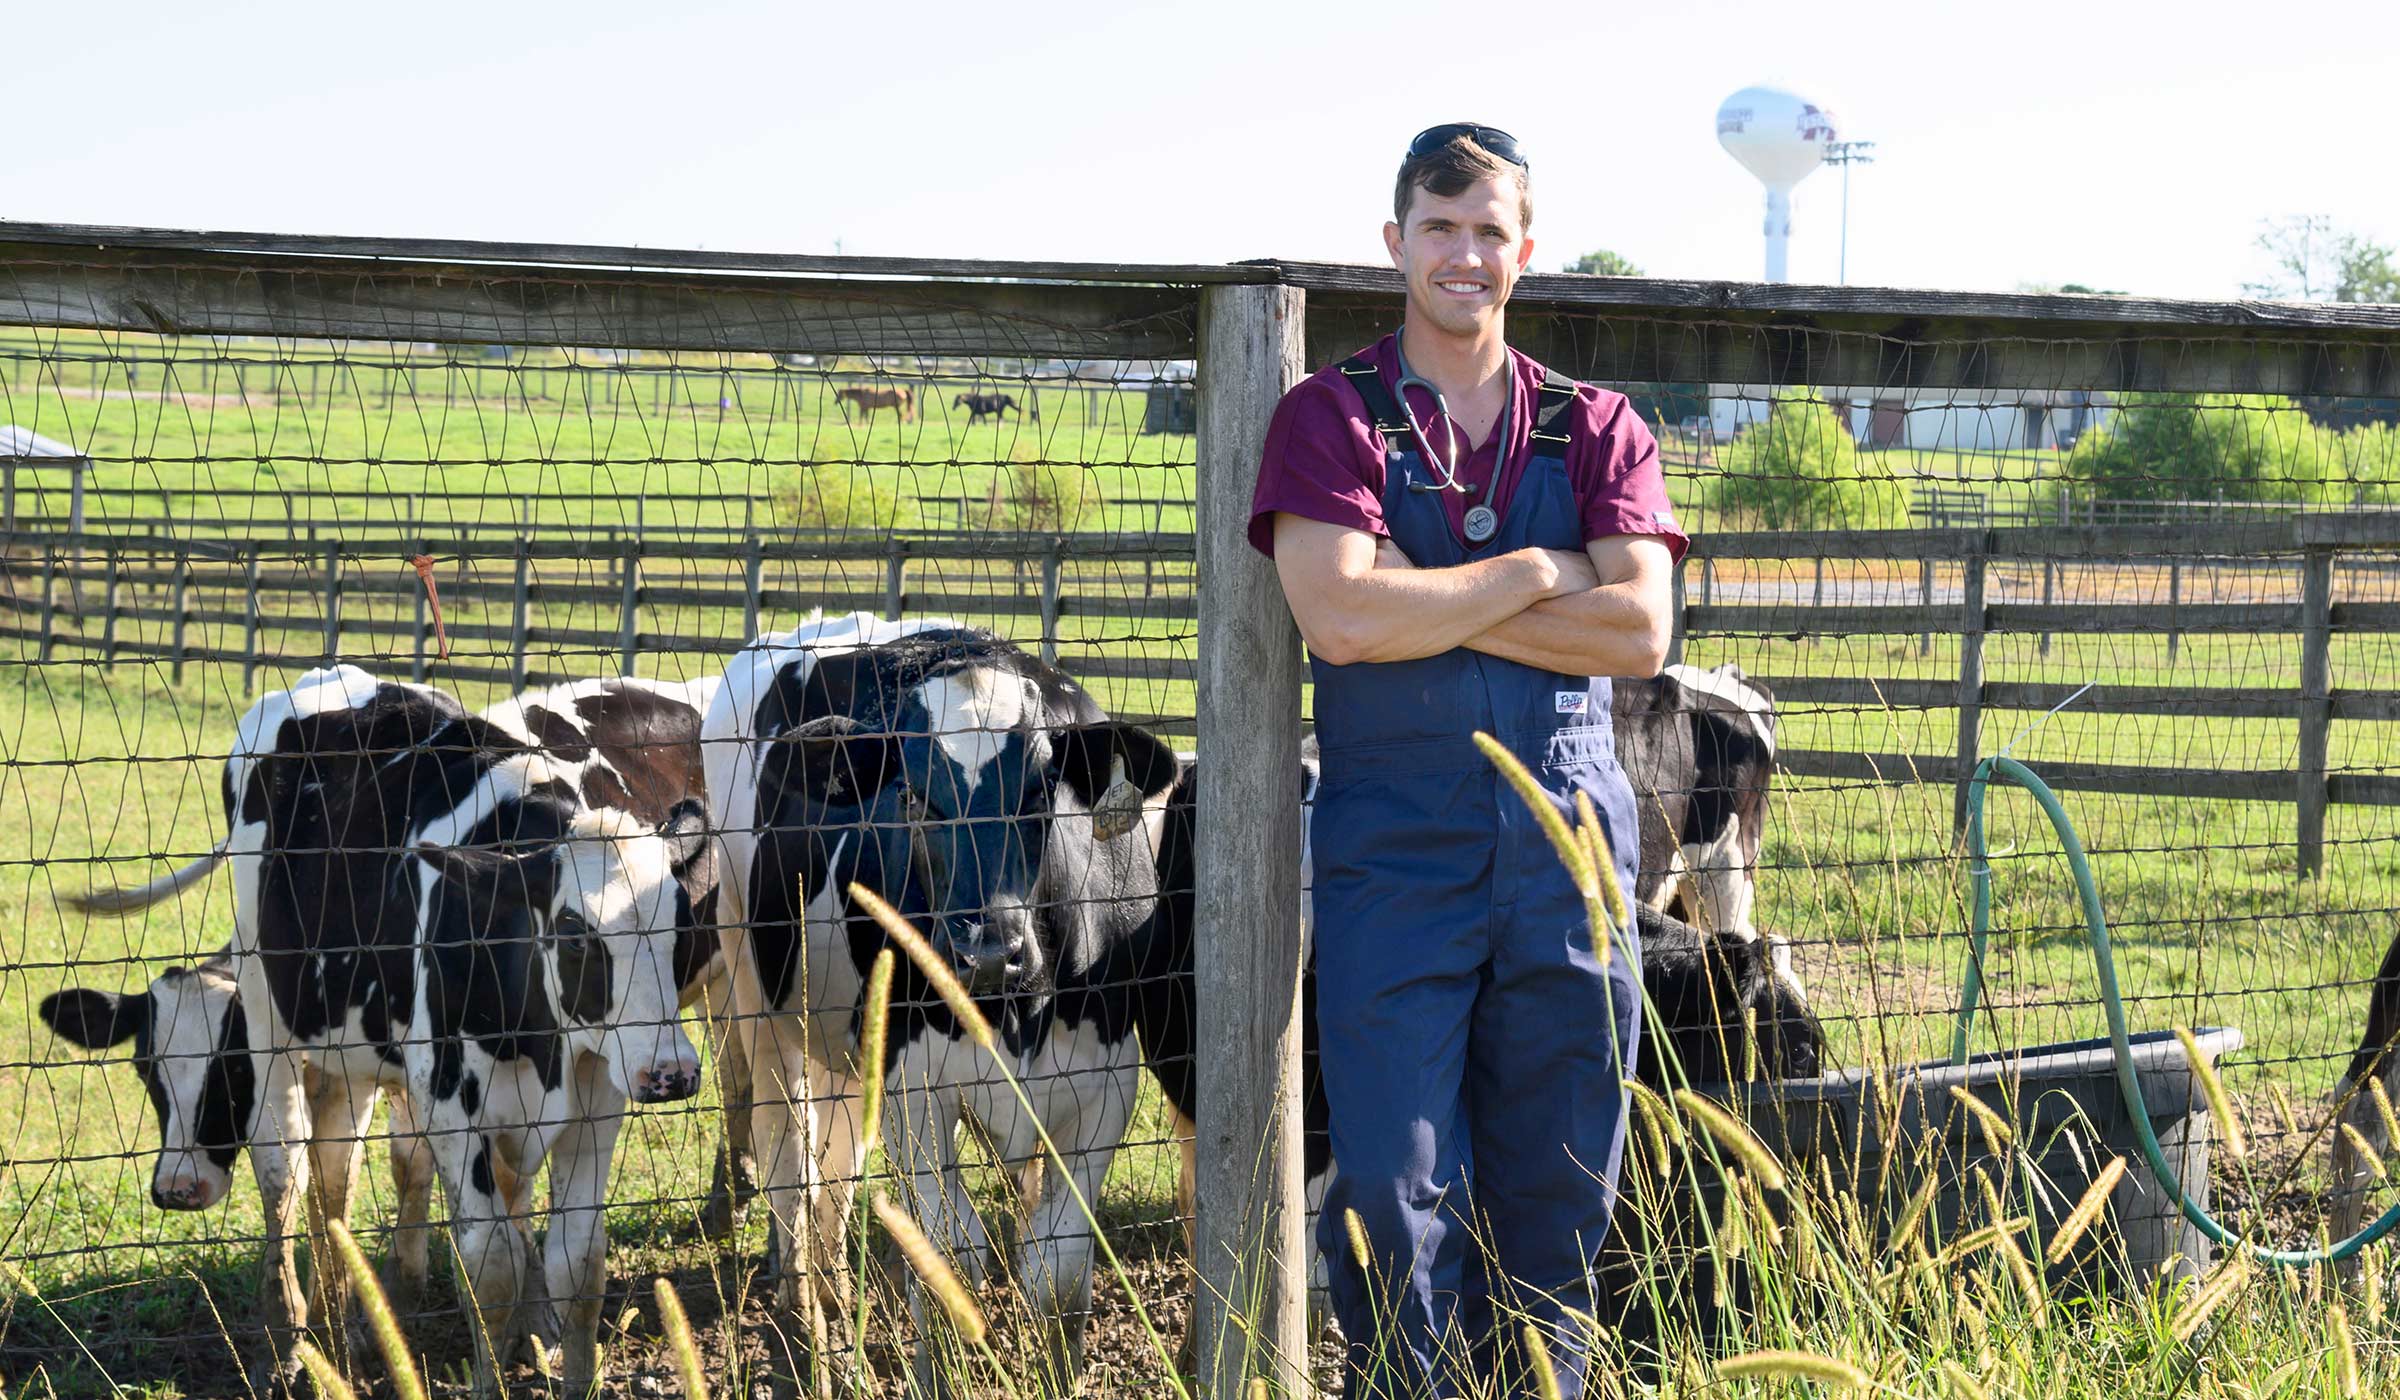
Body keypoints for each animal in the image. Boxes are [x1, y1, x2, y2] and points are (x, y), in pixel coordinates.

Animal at [65, 672, 710, 1400]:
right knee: (285, 1173)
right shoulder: (449, 1100)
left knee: (333, 1175)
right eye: (575, 935)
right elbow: (488, 1264)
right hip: (270, 1018)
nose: (673, 1072)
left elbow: (577, 1265)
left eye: (683, 923)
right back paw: (289, 1347)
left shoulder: (597, 1095)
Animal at [700, 614, 1176, 1392]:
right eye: (913, 799)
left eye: (1040, 792)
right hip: (761, 1007)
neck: (1020, 1011)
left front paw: (1059, 1373)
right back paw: (814, 1345)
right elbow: (949, 1254)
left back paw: (842, 1328)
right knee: (791, 1180)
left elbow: (1058, 1264)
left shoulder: (1105, 1082)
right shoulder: (915, 1092)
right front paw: (939, 1374)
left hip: (848, 1054)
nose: (987, 953)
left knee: (834, 1183)